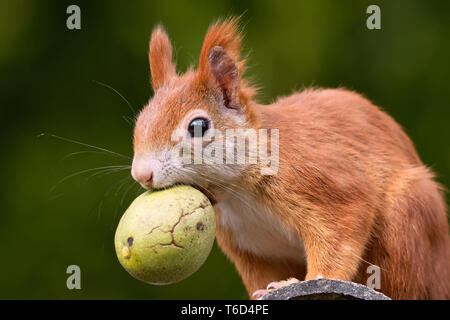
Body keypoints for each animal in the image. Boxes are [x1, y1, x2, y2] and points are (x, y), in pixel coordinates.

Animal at [131, 18, 450, 300]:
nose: (142, 174)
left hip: (407, 221)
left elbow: (342, 231)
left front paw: (307, 280)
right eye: (140, 120)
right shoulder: (250, 247)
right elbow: (261, 275)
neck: (237, 192)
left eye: (198, 127)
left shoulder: (322, 181)